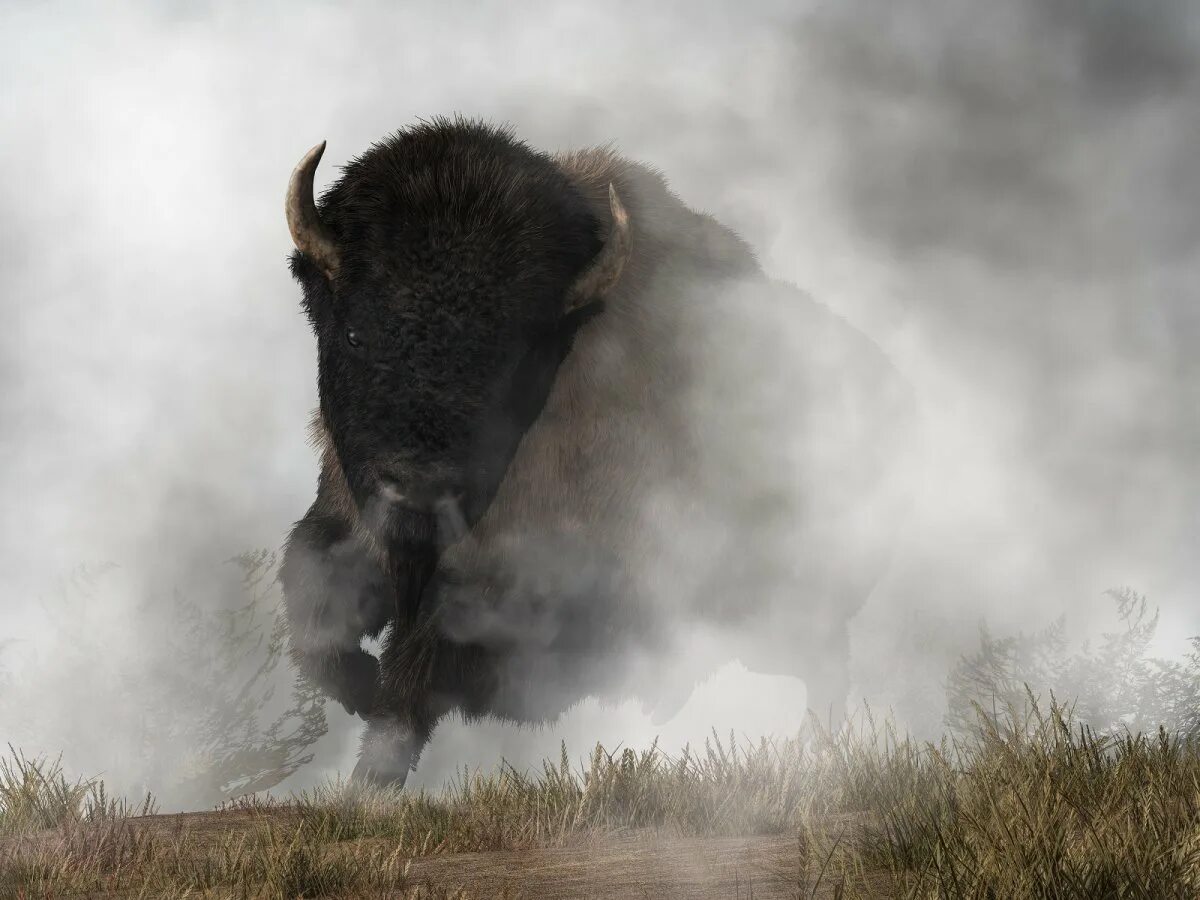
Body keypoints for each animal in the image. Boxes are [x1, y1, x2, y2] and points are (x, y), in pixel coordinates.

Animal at [278, 116, 916, 787]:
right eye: (355, 332)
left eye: (515, 362)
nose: (418, 492)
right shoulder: (342, 526)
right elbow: (315, 615)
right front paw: (358, 688)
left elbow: (411, 685)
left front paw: (368, 779)